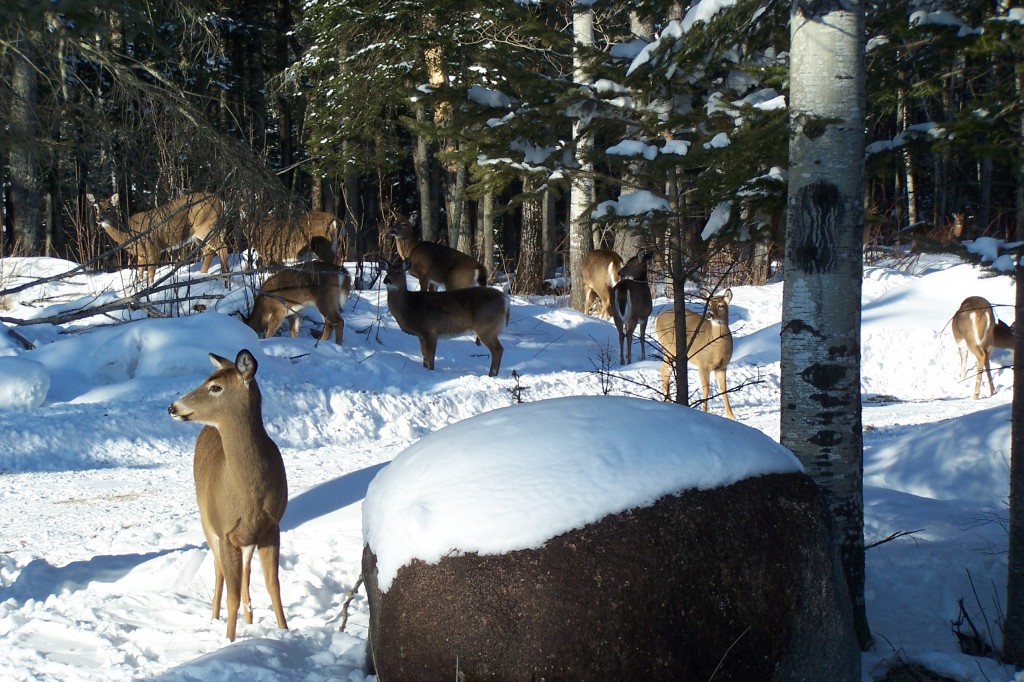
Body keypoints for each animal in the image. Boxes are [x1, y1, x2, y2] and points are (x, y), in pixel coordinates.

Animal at [85, 191, 226, 284]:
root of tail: (219, 199)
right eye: (96, 208)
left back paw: (226, 278)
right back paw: (202, 275)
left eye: (109, 208)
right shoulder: (141, 254)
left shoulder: (152, 248)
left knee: (222, 247)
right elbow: (140, 274)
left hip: (207, 225)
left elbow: (150, 275)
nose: (99, 219)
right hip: (199, 234)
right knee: (209, 251)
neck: (127, 233)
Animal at [166, 348, 288, 638]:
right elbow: (231, 594)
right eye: (206, 380)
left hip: (245, 537)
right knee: (218, 568)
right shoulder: (225, 530)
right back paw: (214, 618)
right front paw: (229, 640)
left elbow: (274, 586)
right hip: (207, 520)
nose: (173, 407)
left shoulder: (271, 527)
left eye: (215, 387)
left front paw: (286, 631)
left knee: (245, 572)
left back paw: (250, 619)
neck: (248, 492)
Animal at [655, 284, 737, 417]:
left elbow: (724, 389)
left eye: (720, 305)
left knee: (665, 369)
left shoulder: (723, 366)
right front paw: (704, 412)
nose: (709, 314)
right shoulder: (702, 363)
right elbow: (706, 389)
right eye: (709, 304)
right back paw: (668, 401)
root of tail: (657, 317)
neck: (716, 349)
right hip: (669, 347)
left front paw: (732, 416)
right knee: (665, 369)